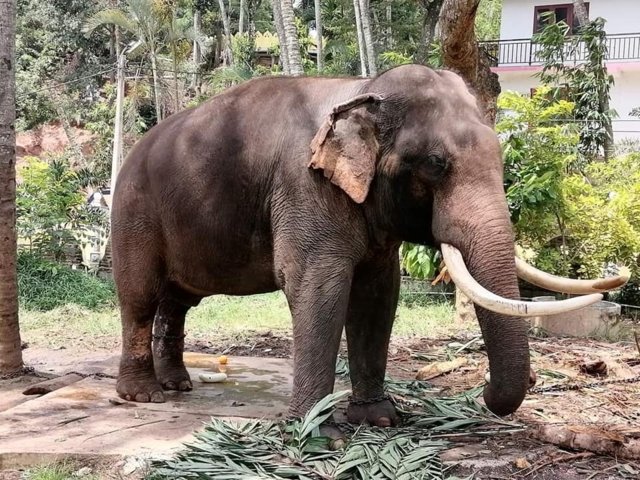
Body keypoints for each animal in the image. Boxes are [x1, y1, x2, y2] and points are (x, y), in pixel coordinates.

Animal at [111, 64, 628, 426]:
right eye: (435, 164)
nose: (481, 393)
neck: (361, 90)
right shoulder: (305, 188)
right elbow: (317, 286)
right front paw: (317, 432)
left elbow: (377, 295)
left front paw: (380, 419)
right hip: (133, 213)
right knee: (140, 297)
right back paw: (144, 395)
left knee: (178, 301)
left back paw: (179, 387)